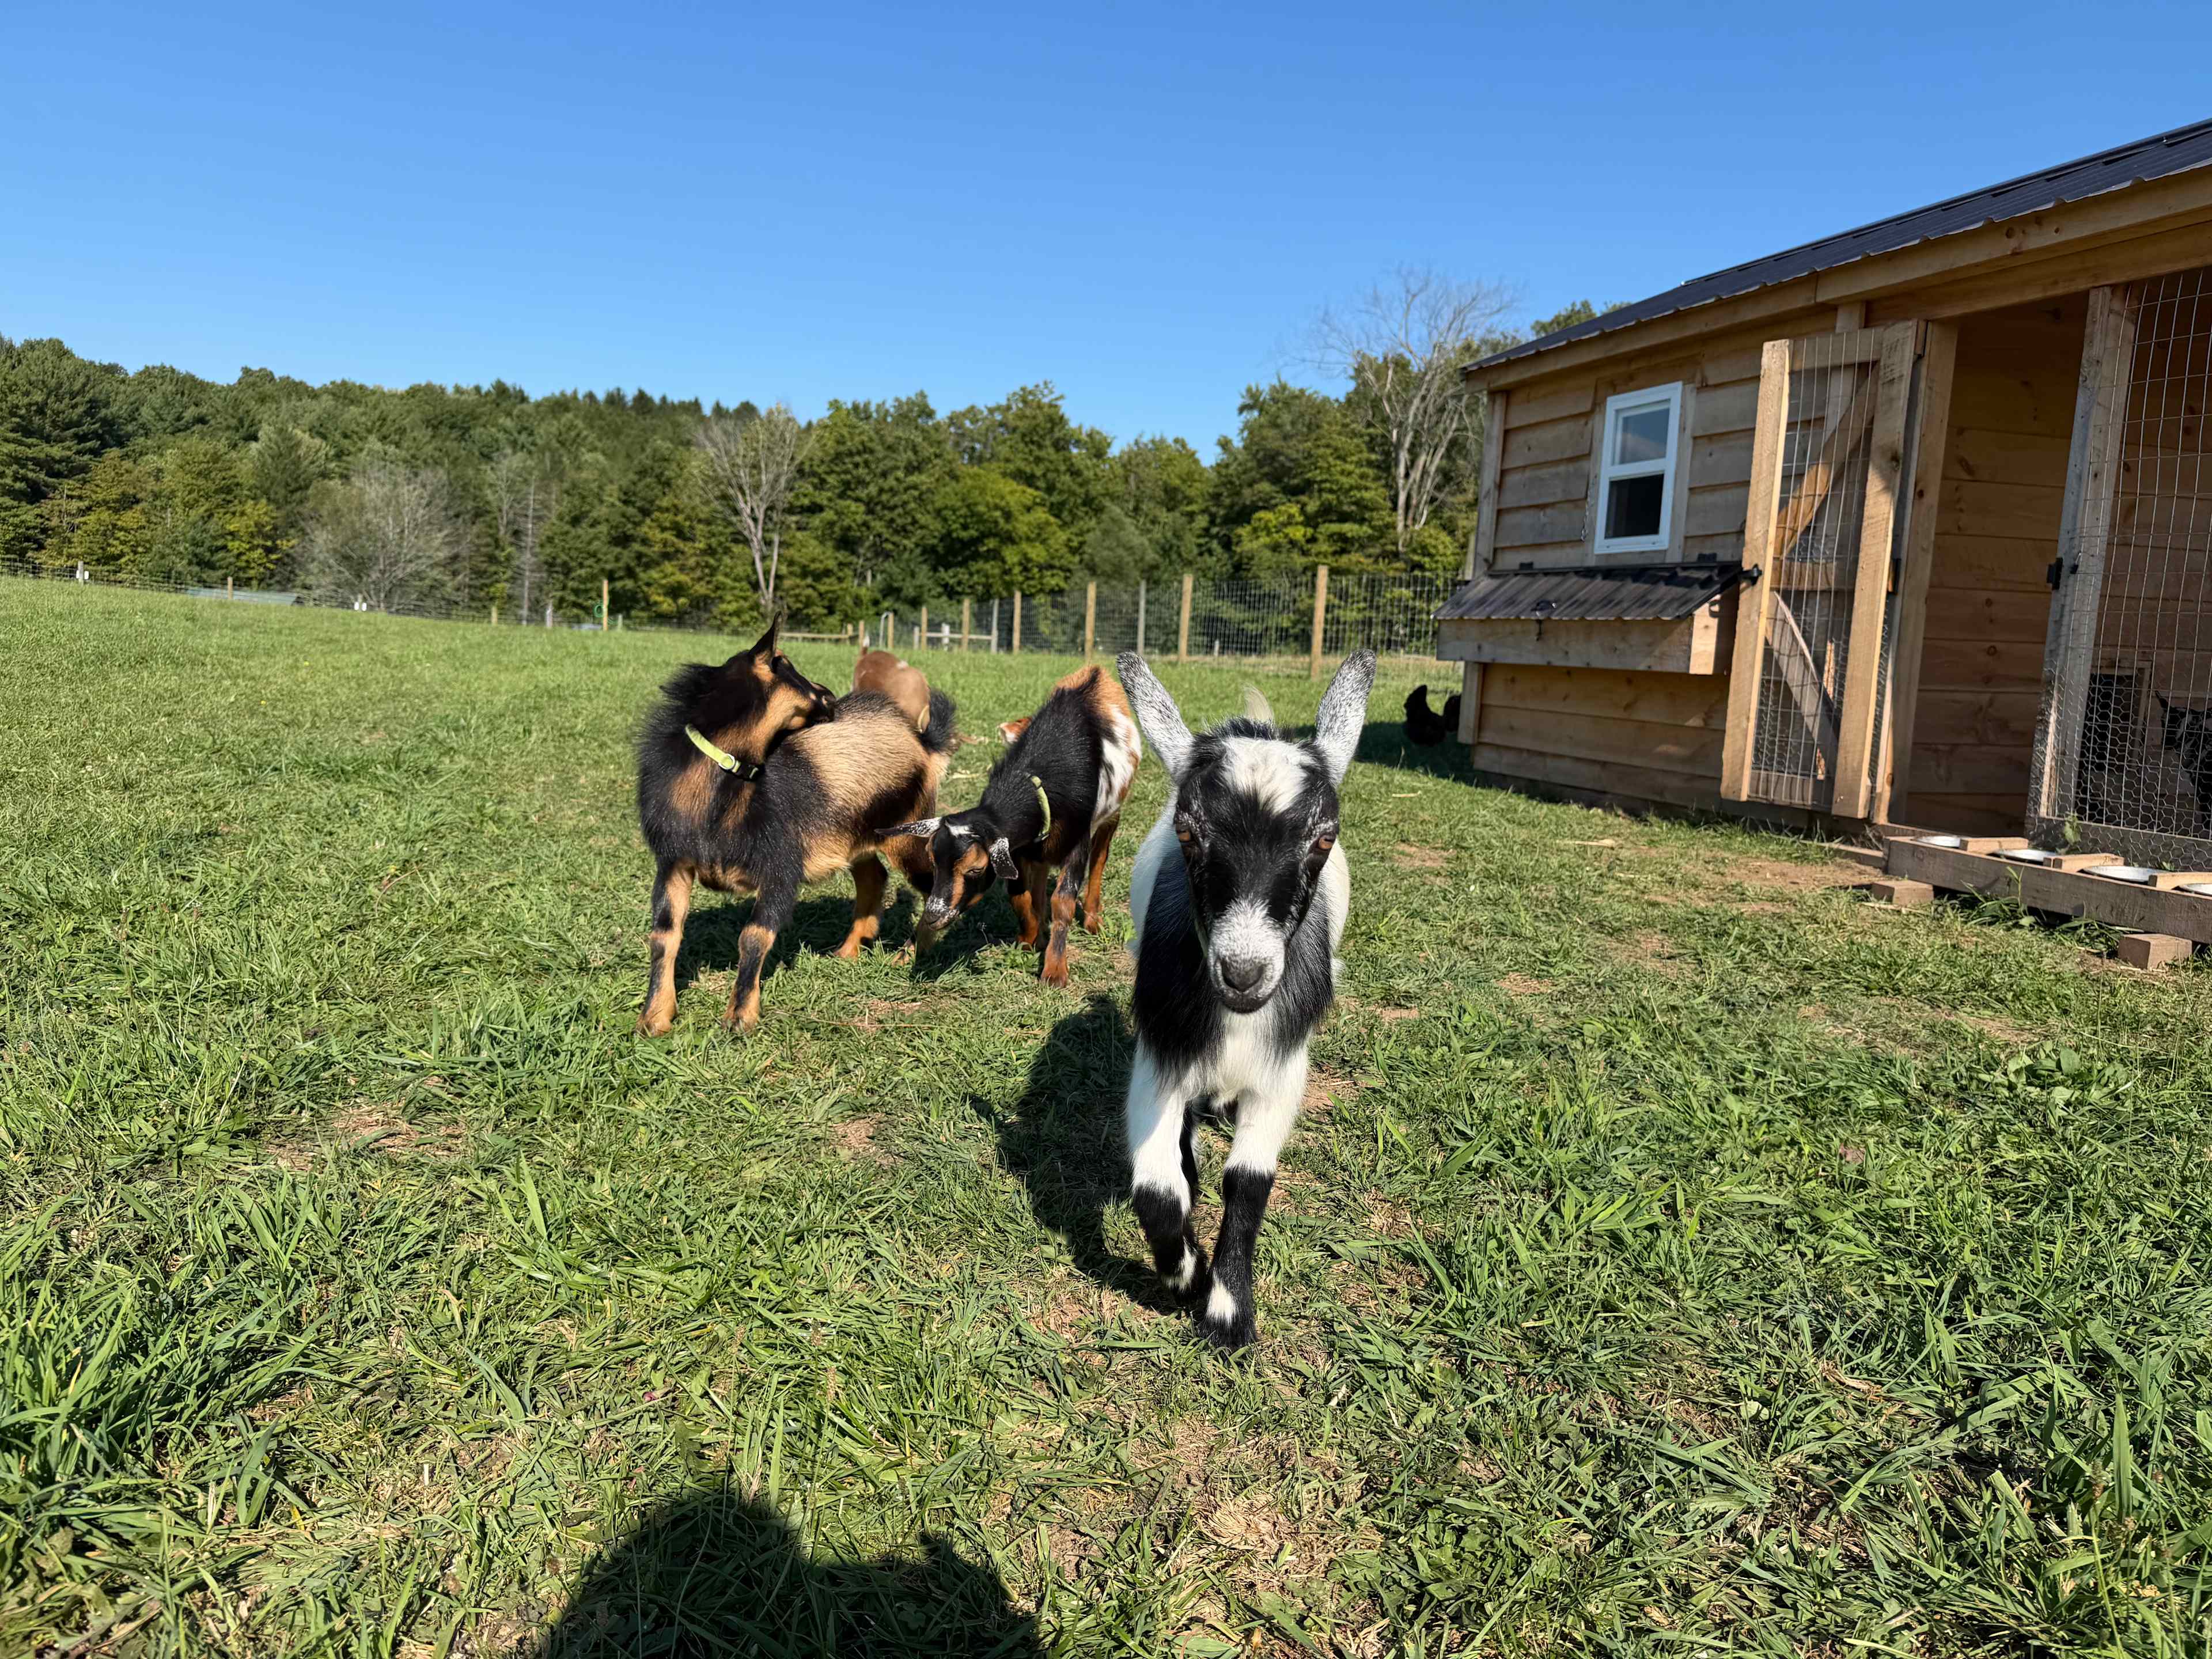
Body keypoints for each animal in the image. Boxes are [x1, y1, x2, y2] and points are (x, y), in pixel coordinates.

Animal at [635, 619, 957, 1034]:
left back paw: (912, 953)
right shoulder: (674, 862)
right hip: (855, 834)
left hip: (907, 830)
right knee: (874, 878)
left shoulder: (781, 866)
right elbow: (664, 934)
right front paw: (654, 1018)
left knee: (934, 883)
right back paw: (848, 951)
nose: (830, 695)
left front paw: (740, 1016)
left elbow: (754, 936)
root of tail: (924, 743)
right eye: (786, 664)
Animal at [886, 665, 1140, 984]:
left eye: (975, 869)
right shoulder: (1018, 848)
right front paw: (1029, 939)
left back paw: (1093, 920)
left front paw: (1055, 970)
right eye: (933, 861)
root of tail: (1095, 671)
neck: (1040, 780)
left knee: (1100, 860)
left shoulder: (1077, 840)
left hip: (1111, 816)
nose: (933, 916)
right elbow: (1019, 897)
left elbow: (1063, 900)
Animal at [1116, 647, 1374, 1347]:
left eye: (1324, 837)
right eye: (1188, 832)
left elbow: (1251, 1184)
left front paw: (1229, 1310)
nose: (1243, 971)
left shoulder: (1282, 1070)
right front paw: (1185, 1274)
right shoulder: (1160, 1054)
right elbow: (1156, 1190)